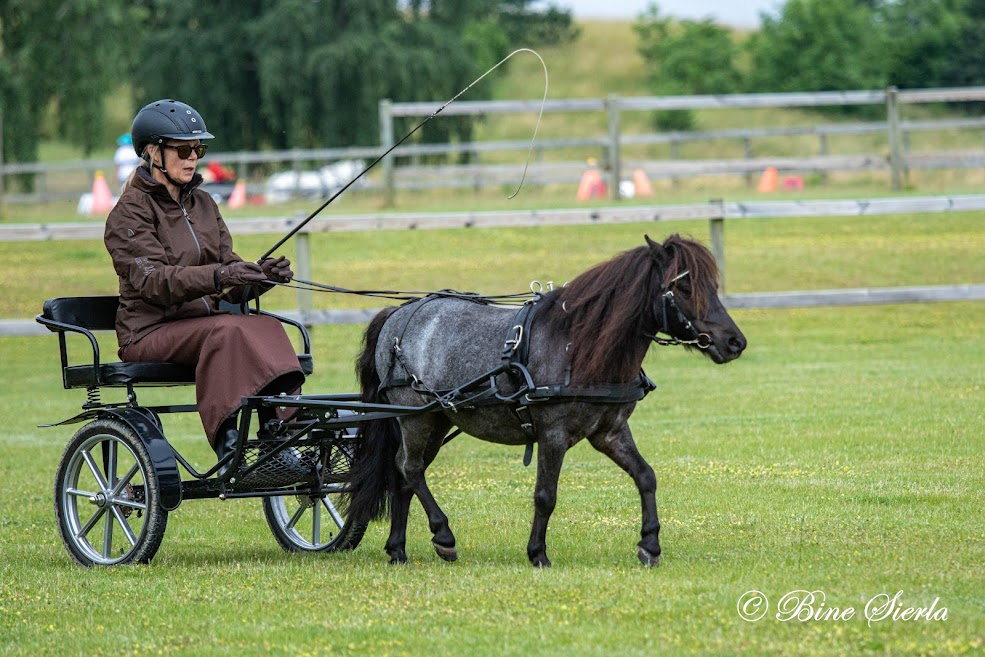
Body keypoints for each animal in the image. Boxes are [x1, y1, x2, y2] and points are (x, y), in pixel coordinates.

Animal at [344, 234, 747, 567]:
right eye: (685, 287)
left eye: (712, 284)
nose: (734, 342)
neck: (577, 347)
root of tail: (399, 313)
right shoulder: (553, 435)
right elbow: (545, 495)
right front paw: (538, 553)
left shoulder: (610, 431)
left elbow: (646, 476)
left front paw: (649, 544)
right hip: (414, 416)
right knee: (410, 469)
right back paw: (443, 535)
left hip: (438, 418)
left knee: (403, 475)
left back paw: (398, 549)